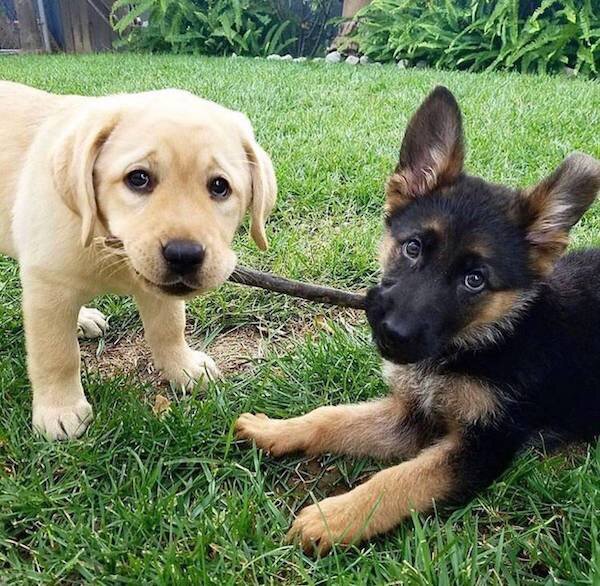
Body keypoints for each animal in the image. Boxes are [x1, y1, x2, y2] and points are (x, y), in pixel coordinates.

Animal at [0, 81, 276, 440]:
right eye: (139, 178)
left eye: (219, 186)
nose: (184, 256)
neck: (111, 242)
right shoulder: (47, 286)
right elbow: (57, 354)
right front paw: (60, 410)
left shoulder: (157, 289)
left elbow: (169, 327)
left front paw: (183, 367)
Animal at [235, 86, 600, 554]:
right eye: (413, 248)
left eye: (475, 280)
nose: (393, 335)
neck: (483, 340)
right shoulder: (410, 416)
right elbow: (332, 418)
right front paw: (276, 430)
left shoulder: (484, 446)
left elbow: (399, 479)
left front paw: (333, 518)